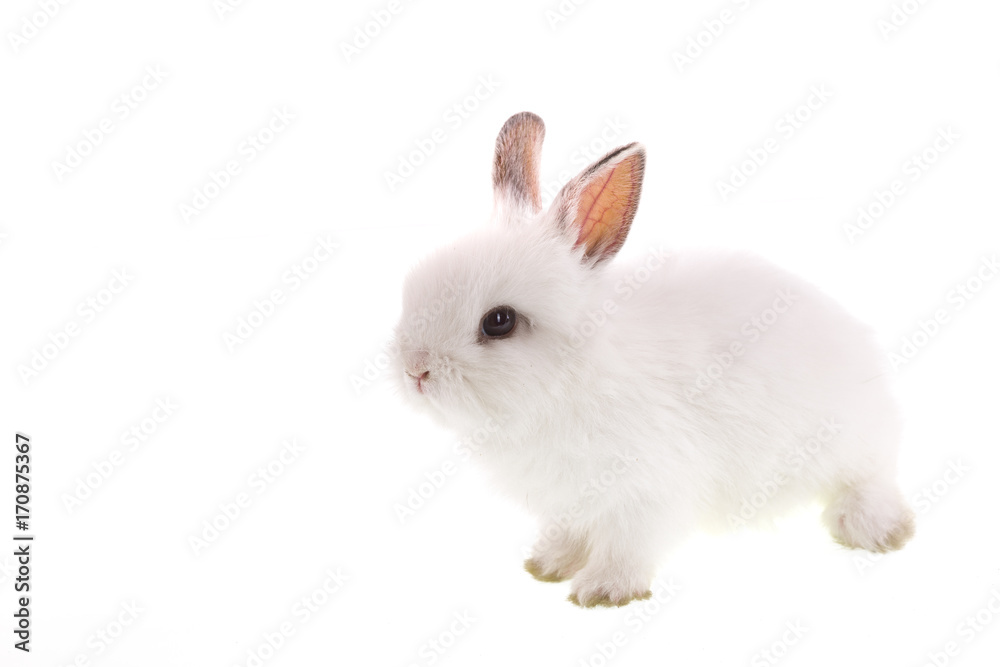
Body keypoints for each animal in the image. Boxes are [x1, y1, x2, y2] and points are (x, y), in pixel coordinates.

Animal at [388, 112, 916, 608]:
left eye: (499, 321)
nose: (415, 370)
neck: (571, 379)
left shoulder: (645, 491)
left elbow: (626, 545)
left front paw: (604, 590)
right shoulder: (567, 501)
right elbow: (570, 534)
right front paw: (548, 565)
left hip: (851, 446)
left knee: (868, 481)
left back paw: (877, 530)